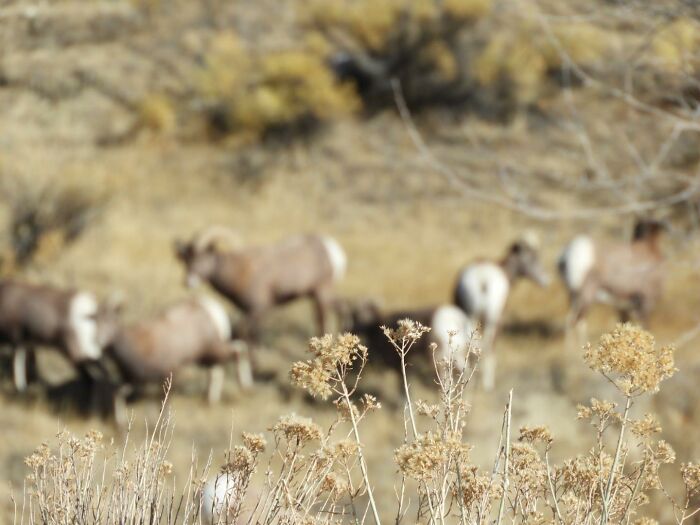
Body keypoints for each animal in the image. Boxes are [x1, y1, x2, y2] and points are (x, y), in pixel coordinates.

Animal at [105, 295, 253, 424]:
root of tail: (213, 309)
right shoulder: (131, 380)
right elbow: (117, 393)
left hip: (213, 351)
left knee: (238, 351)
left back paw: (244, 387)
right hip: (206, 357)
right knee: (218, 369)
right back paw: (209, 401)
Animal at [174, 227, 347, 340]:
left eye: (201, 257)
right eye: (186, 260)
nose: (187, 281)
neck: (239, 271)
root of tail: (333, 251)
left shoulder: (258, 311)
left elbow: (250, 338)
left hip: (321, 292)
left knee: (322, 320)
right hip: (318, 294)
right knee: (339, 308)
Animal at [453, 236, 549, 390]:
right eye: (533, 257)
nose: (546, 280)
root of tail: (483, 280)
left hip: (474, 318)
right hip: (492, 320)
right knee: (488, 344)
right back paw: (487, 384)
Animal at [558, 219, 666, 348]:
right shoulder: (645, 302)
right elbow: (645, 326)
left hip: (573, 296)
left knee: (569, 320)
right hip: (587, 295)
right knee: (580, 321)